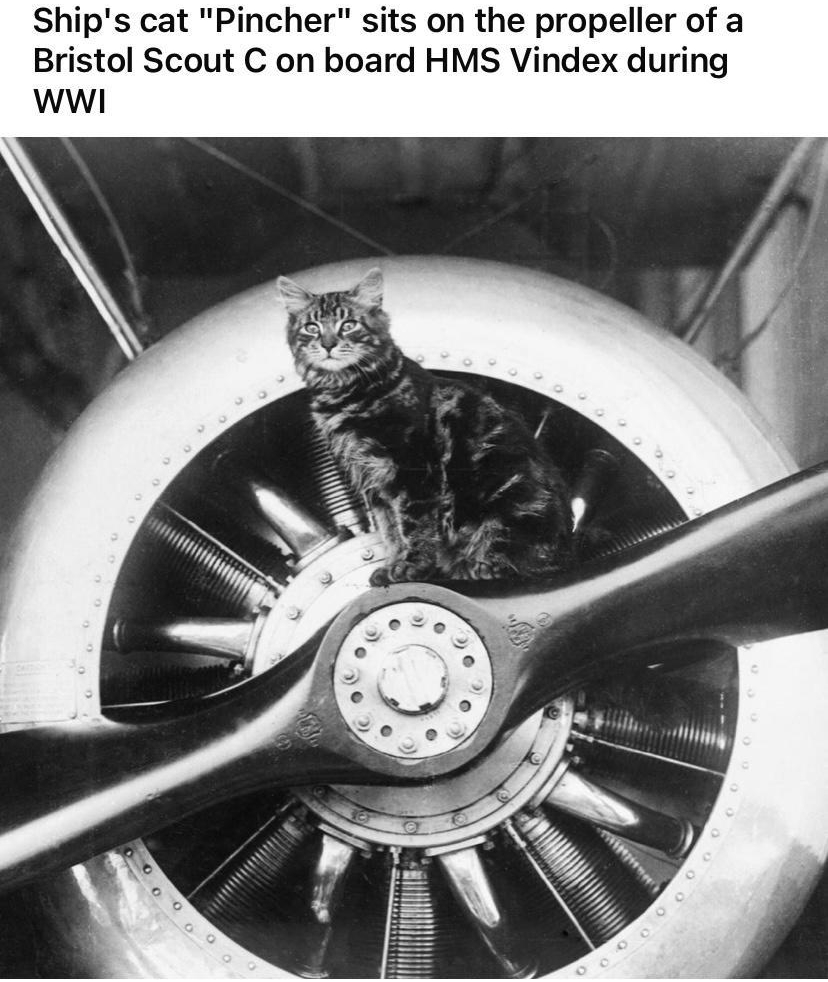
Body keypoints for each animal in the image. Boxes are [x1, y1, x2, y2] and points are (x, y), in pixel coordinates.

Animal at [276, 268, 568, 584]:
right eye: (312, 327)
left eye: (348, 325)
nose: (328, 345)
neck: (345, 393)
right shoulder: (373, 481)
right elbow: (390, 531)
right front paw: (392, 565)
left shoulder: (412, 470)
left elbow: (414, 528)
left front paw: (411, 568)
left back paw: (479, 567)